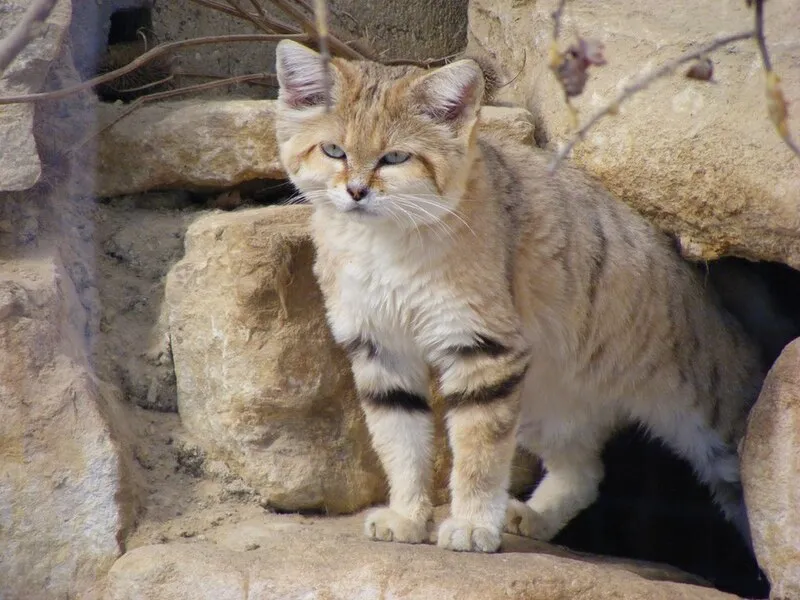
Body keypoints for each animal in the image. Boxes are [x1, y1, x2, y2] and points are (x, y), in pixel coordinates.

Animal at [274, 38, 764, 552]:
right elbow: (401, 444)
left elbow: (478, 455)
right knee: (585, 471)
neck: (382, 243)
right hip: (543, 400)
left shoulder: (482, 350)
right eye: (333, 150)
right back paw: (534, 517)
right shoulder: (381, 350)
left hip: (711, 419)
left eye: (395, 158)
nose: (355, 191)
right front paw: (407, 517)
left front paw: (471, 525)